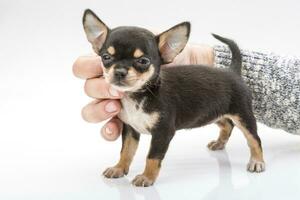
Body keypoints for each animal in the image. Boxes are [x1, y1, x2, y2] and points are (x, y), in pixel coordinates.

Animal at [82, 8, 264, 187]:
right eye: (106, 57)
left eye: (143, 61)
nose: (119, 71)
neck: (138, 95)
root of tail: (233, 71)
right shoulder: (130, 129)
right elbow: (126, 151)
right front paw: (119, 168)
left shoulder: (163, 132)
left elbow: (152, 156)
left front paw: (147, 177)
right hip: (212, 113)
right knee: (227, 125)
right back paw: (219, 143)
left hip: (242, 115)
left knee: (254, 138)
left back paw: (257, 161)